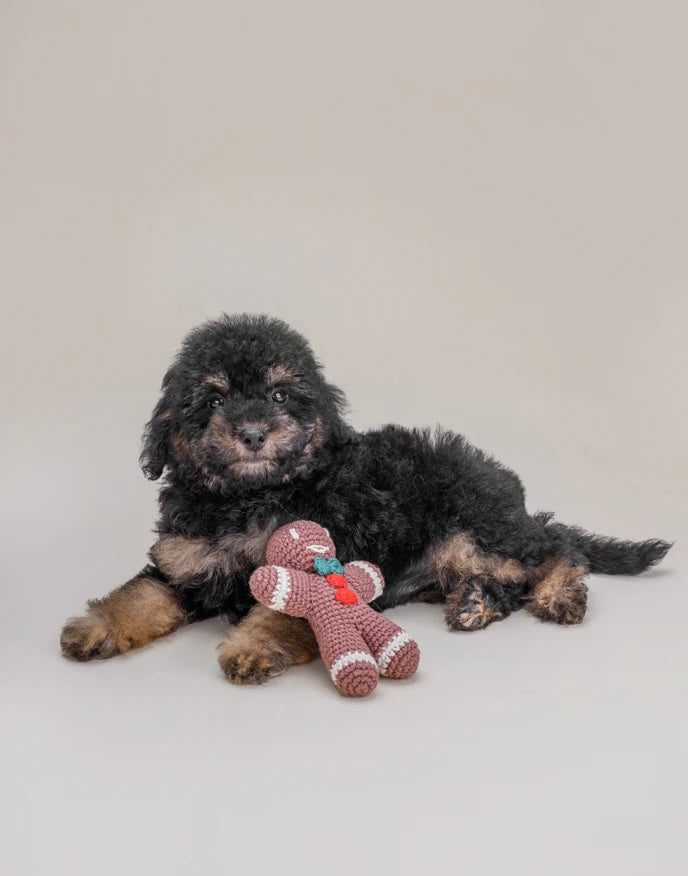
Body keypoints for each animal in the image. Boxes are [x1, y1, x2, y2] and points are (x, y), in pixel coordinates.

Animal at [60, 314, 672, 684]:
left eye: (279, 395)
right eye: (212, 400)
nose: (253, 432)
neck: (250, 497)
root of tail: (510, 493)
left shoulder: (326, 561)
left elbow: (283, 611)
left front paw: (251, 647)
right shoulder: (185, 563)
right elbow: (139, 593)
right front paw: (95, 627)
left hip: (471, 527)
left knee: (553, 549)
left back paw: (557, 594)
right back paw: (475, 603)